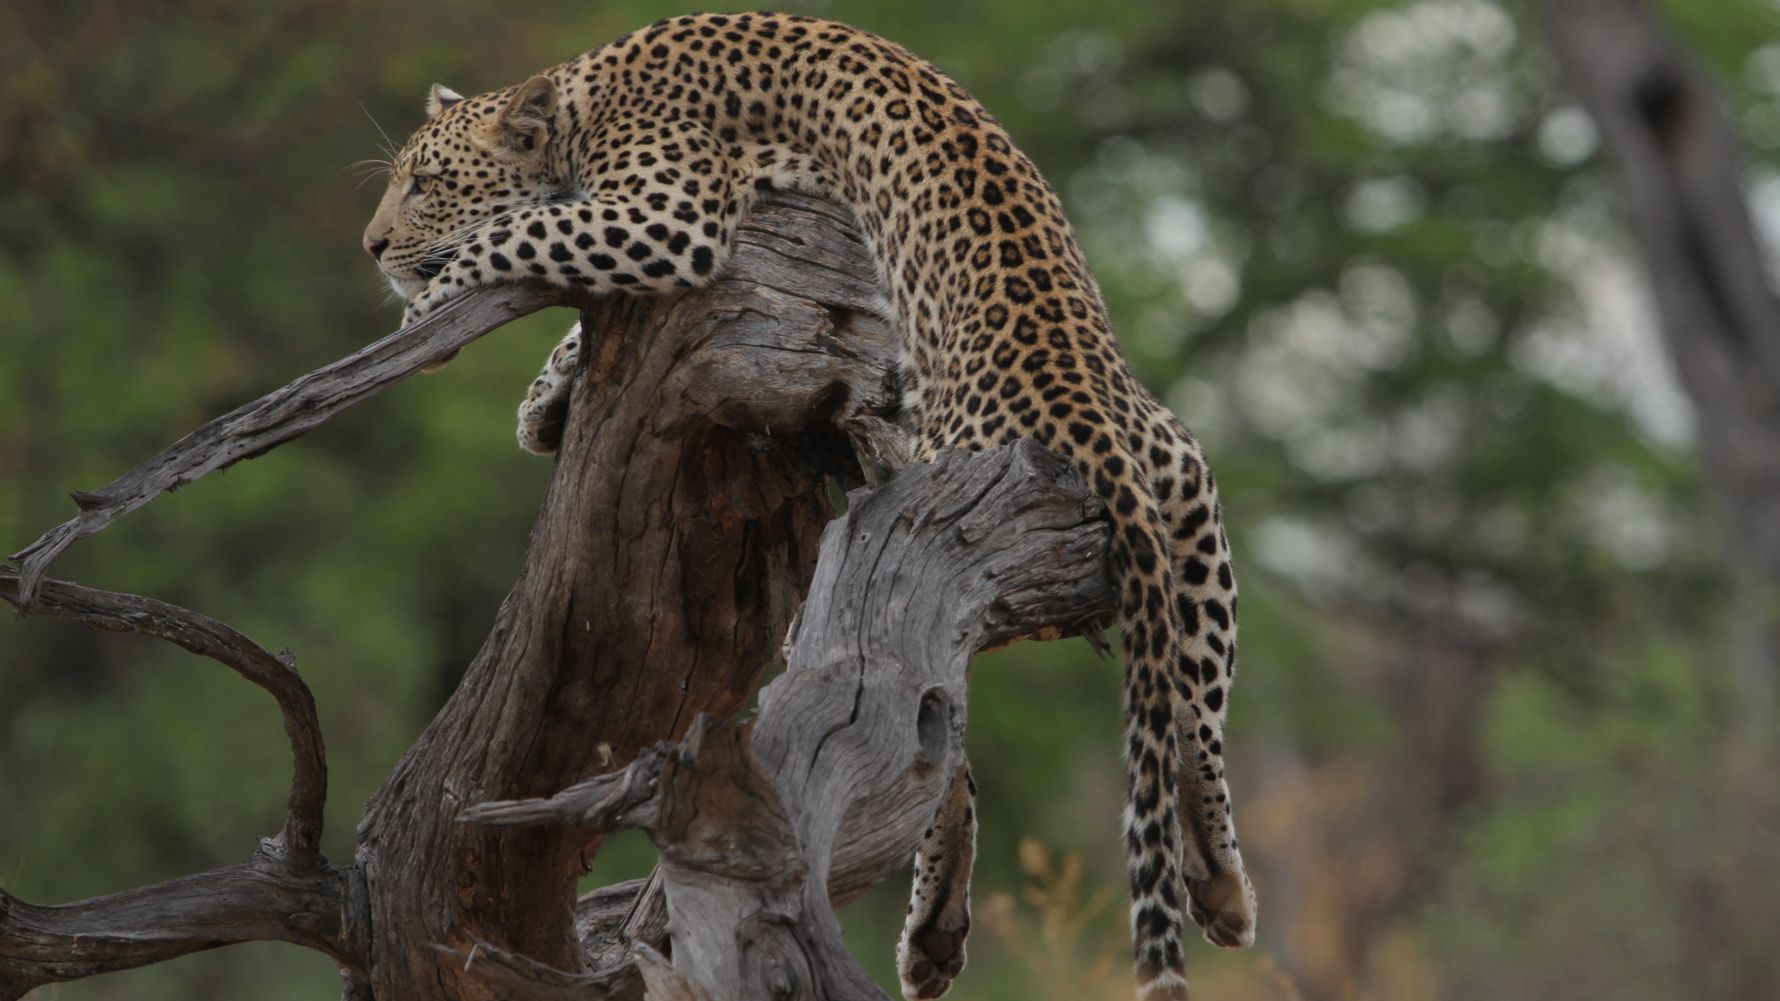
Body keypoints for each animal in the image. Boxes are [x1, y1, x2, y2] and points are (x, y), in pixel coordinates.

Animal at [361, 13, 1255, 999]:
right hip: (1191, 512)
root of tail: (1094, 425)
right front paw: (542, 399)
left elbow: (519, 230)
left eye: (425, 183)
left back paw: (936, 925)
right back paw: (1215, 886)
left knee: (936, 733)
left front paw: (424, 309)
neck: (585, 97)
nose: (370, 246)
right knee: (1188, 715)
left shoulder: (670, 211)